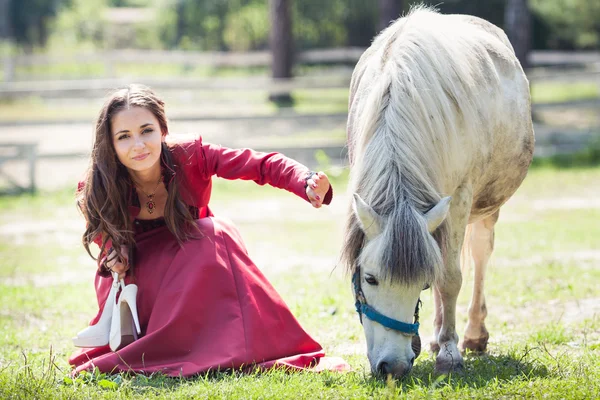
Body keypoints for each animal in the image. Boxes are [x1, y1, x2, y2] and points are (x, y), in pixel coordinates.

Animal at [342, 8, 536, 378]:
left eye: (421, 284)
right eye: (370, 278)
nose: (393, 366)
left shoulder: (459, 197)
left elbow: (449, 278)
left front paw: (449, 353)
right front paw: (434, 342)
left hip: (485, 207)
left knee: (479, 254)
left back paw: (472, 334)